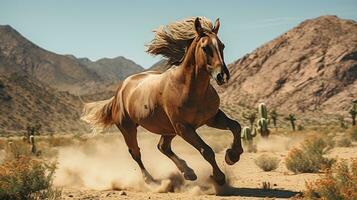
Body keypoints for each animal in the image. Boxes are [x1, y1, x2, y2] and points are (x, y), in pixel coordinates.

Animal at [81, 17, 242, 186]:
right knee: (136, 153)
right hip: (129, 128)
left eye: (222, 45)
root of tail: (119, 91)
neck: (188, 88)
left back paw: (188, 172)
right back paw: (150, 180)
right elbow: (207, 151)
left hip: (167, 128)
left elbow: (236, 126)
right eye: (205, 48)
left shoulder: (211, 118)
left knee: (162, 147)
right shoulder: (184, 128)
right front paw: (219, 177)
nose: (222, 76)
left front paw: (232, 156)